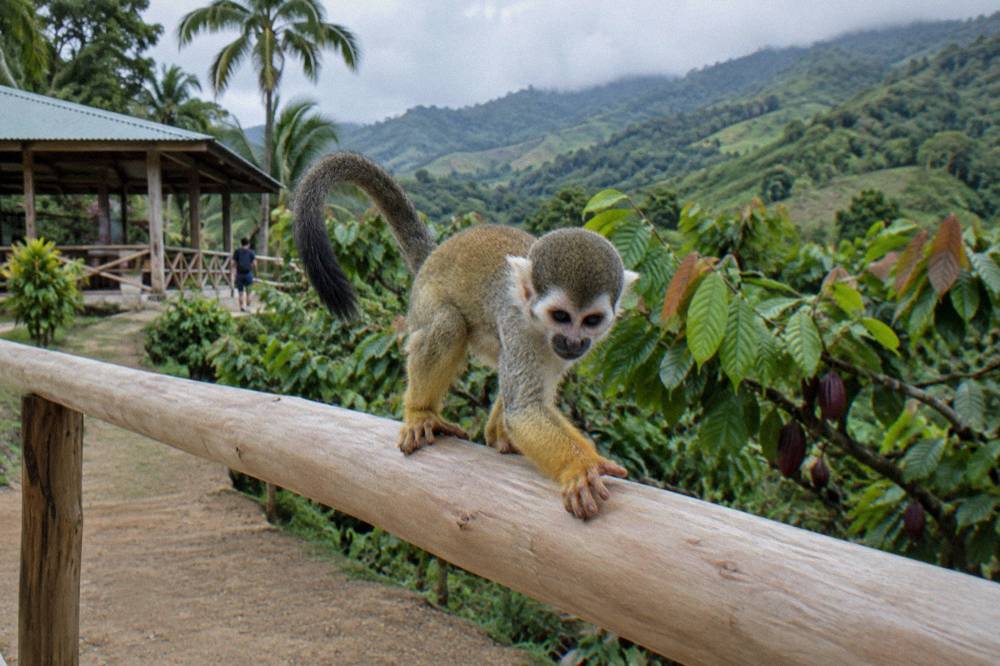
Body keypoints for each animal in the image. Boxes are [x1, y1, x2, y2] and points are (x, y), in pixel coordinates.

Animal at [294, 152, 638, 520]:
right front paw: (581, 467)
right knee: (447, 324)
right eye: (561, 316)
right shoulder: (518, 326)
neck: (540, 328)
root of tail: (434, 254)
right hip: (425, 298)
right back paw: (421, 412)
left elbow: (530, 397)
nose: (573, 342)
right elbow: (524, 408)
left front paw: (504, 434)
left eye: (591, 320)